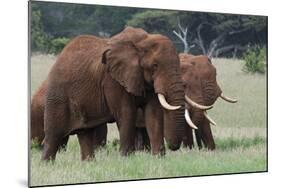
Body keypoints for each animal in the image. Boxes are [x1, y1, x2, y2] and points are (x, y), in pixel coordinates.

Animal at [36, 27, 188, 161]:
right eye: (155, 66)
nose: (173, 146)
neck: (143, 40)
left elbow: (153, 114)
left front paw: (159, 158)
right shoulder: (112, 80)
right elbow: (126, 113)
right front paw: (127, 159)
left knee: (85, 133)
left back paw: (90, 163)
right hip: (58, 95)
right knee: (53, 136)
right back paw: (46, 164)